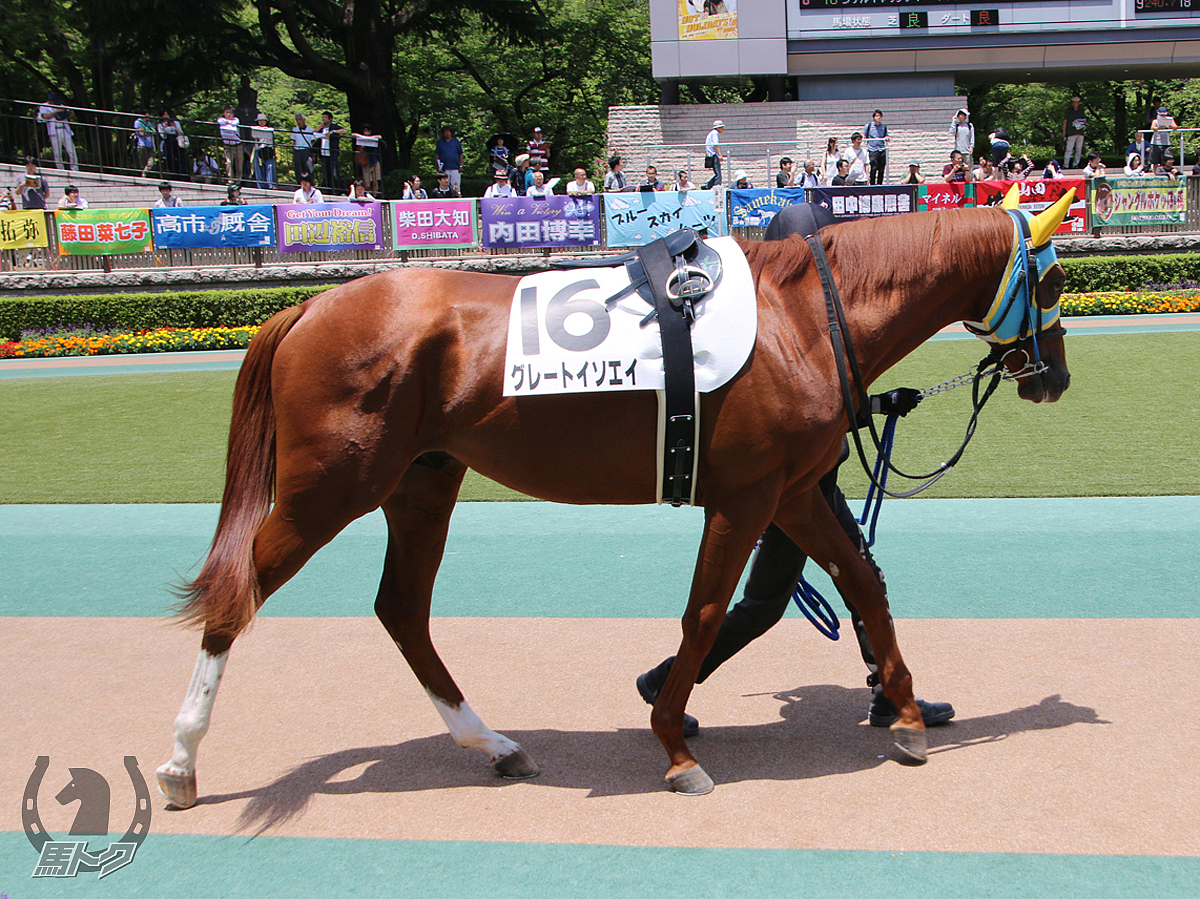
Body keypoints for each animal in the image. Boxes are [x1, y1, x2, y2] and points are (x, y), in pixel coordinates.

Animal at [157, 202, 1070, 806]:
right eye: (1057, 279)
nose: (1055, 376)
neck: (802, 315)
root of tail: (309, 303)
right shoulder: (745, 496)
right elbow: (706, 613)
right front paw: (673, 743)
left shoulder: (793, 490)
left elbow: (861, 581)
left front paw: (908, 711)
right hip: (331, 489)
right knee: (238, 594)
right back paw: (180, 761)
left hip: (422, 481)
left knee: (402, 609)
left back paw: (493, 744)